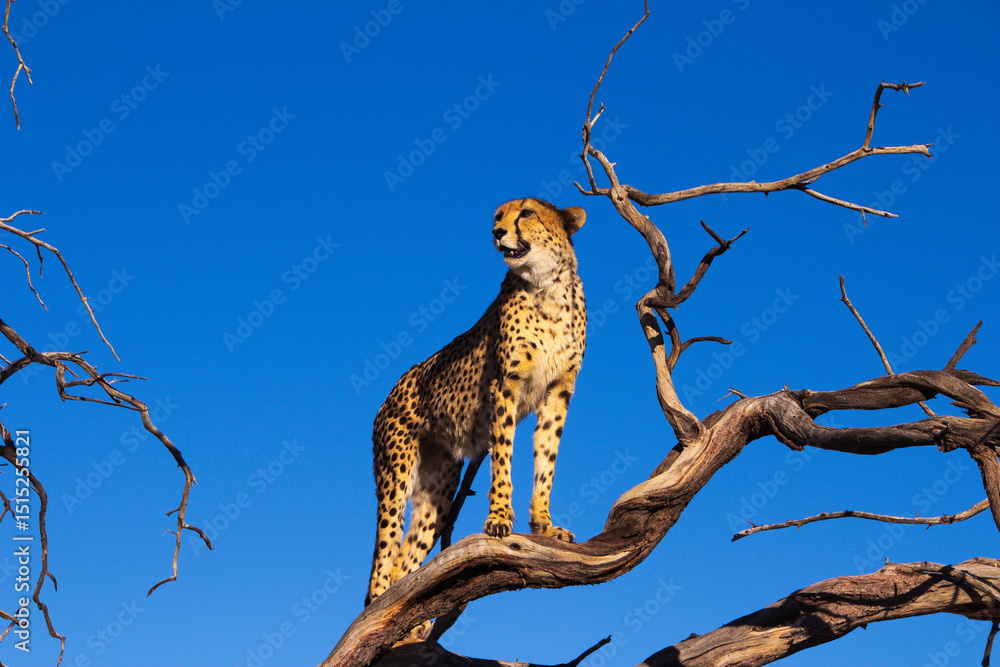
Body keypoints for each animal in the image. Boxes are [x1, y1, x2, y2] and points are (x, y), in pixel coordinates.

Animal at [366, 198, 586, 609]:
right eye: (498, 217)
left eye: (527, 213)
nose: (496, 233)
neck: (546, 287)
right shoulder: (505, 385)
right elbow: (503, 455)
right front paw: (499, 517)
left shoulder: (558, 391)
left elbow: (546, 460)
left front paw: (544, 525)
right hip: (395, 476)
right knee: (382, 565)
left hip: (440, 486)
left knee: (405, 567)